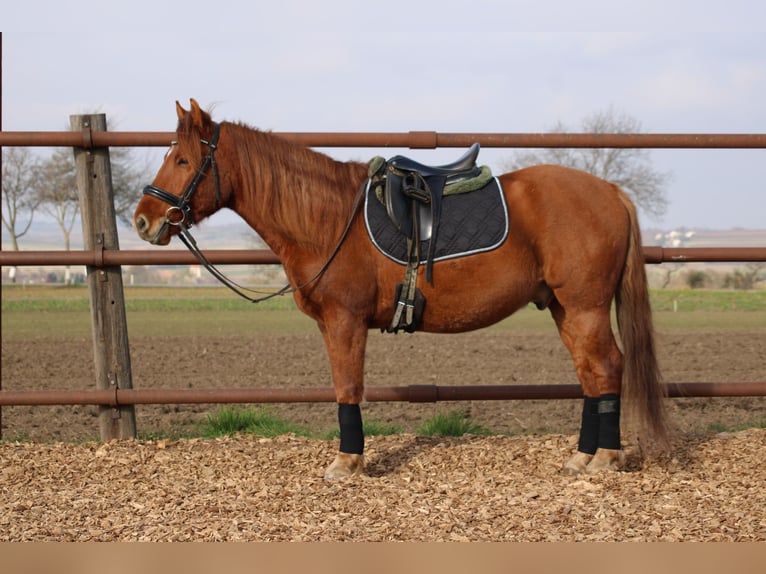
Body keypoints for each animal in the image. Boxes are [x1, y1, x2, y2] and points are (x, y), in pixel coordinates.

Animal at [135, 100, 668, 482]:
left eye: (182, 159)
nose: (144, 220)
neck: (329, 220)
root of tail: (610, 191)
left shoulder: (345, 321)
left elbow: (347, 387)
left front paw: (348, 463)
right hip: (565, 308)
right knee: (590, 373)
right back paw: (582, 457)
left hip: (585, 307)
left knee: (606, 368)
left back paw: (605, 457)